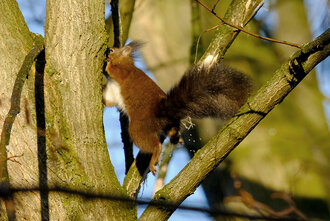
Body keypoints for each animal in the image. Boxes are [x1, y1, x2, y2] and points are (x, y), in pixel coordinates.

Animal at [104, 41, 253, 175]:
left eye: (112, 50)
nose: (106, 50)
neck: (127, 62)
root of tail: (161, 112)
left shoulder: (124, 72)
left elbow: (114, 71)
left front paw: (107, 65)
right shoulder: (112, 93)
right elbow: (108, 102)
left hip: (138, 130)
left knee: (154, 145)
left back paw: (155, 157)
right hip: (167, 125)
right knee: (172, 130)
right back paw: (177, 138)